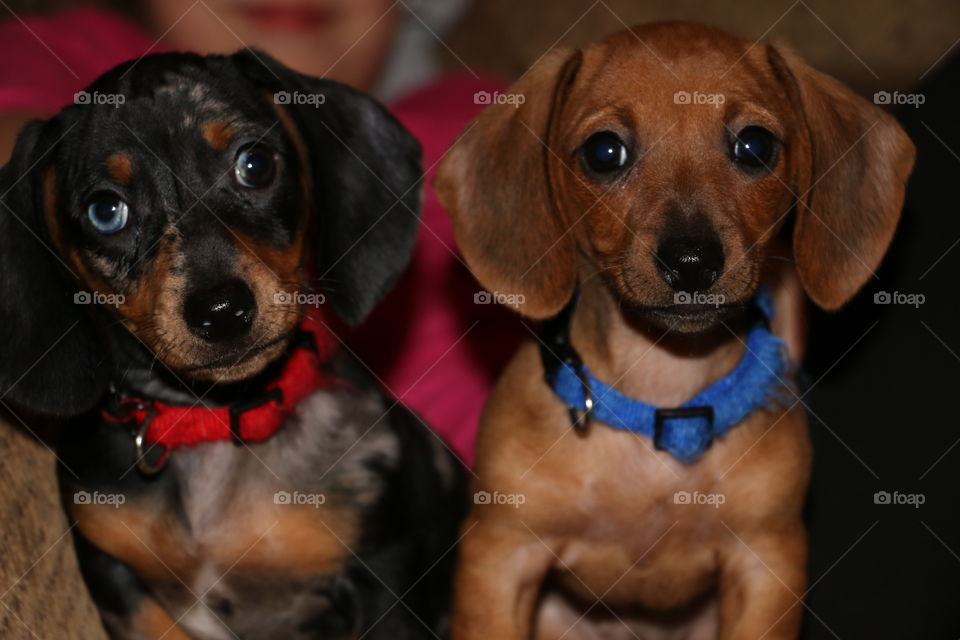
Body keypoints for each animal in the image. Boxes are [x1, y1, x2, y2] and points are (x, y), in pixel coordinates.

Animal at [0, 51, 464, 640]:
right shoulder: (116, 579)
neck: (211, 425)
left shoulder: (384, 576)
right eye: (106, 211)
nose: (221, 312)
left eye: (255, 164)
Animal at [436, 21, 916, 640]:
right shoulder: (501, 559)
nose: (691, 262)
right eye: (605, 152)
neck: (664, 394)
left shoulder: (765, 566)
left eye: (754, 145)